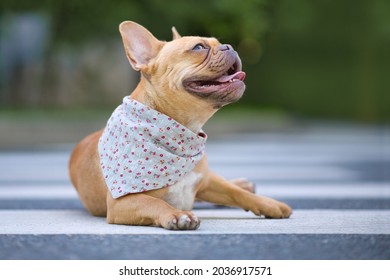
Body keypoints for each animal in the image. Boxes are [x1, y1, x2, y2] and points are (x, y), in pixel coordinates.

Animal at [68, 20, 290, 230]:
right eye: (198, 47)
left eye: (218, 42)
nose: (229, 46)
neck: (183, 133)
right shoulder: (121, 203)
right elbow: (155, 203)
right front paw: (178, 215)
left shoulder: (206, 181)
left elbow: (235, 193)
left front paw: (270, 204)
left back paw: (243, 184)